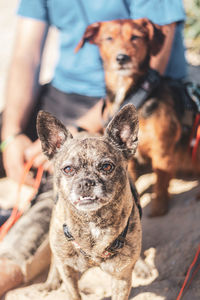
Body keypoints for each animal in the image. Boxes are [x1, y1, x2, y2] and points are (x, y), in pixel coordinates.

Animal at [36, 103, 141, 300]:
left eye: (106, 167)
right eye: (68, 169)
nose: (86, 182)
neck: (92, 220)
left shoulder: (121, 278)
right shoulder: (68, 271)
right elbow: (73, 293)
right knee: (54, 258)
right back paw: (51, 281)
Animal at [76, 18, 200, 216]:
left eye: (135, 37)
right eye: (108, 38)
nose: (122, 58)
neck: (133, 95)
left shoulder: (162, 152)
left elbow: (160, 183)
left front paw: (158, 209)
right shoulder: (127, 158)